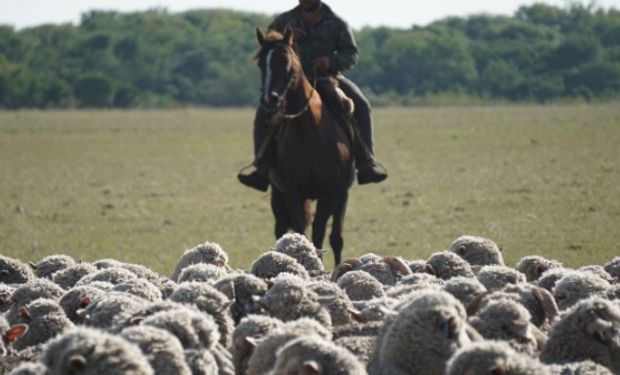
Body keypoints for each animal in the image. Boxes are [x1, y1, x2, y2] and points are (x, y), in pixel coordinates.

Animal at [256, 27, 354, 268]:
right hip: (279, 195)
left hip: (340, 194)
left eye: (286, 62)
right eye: (261, 63)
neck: (310, 133)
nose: (270, 101)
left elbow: (320, 232)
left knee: (336, 237)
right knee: (282, 229)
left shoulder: (329, 191)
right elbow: (300, 231)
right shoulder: (293, 191)